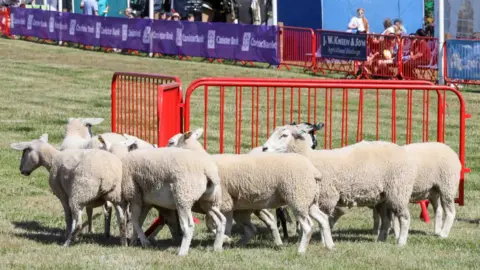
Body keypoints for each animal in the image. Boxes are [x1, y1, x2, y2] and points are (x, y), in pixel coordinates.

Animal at [165, 127, 334, 254]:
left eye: (171, 142)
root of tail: (313, 171)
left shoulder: (223, 202)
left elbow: (215, 224)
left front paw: (224, 240)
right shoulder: (227, 204)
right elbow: (219, 224)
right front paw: (226, 241)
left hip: (297, 196)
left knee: (308, 226)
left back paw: (301, 250)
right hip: (308, 199)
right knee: (323, 219)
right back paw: (329, 245)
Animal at [260, 123, 418, 246]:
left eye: (284, 135)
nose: (264, 148)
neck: (310, 158)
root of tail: (401, 150)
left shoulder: (327, 197)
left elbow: (324, 221)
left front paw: (324, 241)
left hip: (398, 190)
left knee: (404, 217)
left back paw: (401, 242)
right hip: (382, 197)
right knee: (386, 220)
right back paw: (380, 240)